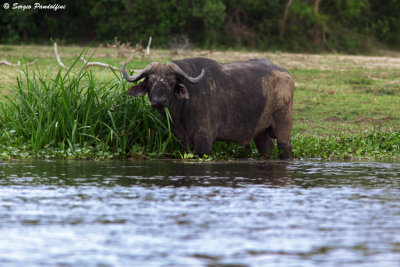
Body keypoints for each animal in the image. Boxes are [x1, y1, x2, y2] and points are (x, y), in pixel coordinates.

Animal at [123, 57, 296, 159]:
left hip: (284, 123)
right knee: (266, 148)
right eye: (151, 81)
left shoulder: (204, 139)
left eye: (171, 82)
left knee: (284, 147)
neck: (182, 110)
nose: (159, 100)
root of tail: (287, 75)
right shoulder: (184, 141)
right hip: (261, 131)